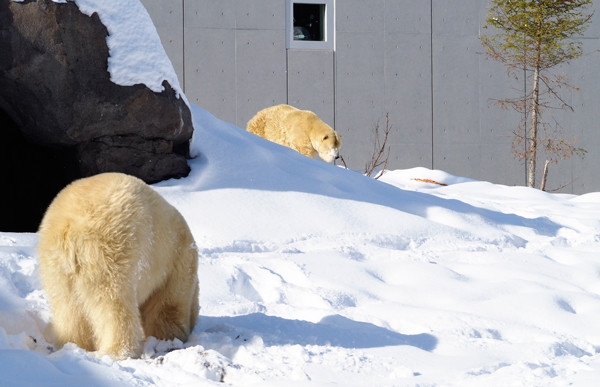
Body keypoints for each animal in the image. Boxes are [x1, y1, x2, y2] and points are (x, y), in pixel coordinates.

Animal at [37, 173, 199, 360]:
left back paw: (72, 345)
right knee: (114, 304)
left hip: (55, 265)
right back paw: (120, 351)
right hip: (109, 253)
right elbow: (167, 307)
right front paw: (170, 338)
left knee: (67, 306)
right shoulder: (175, 262)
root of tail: (68, 230)